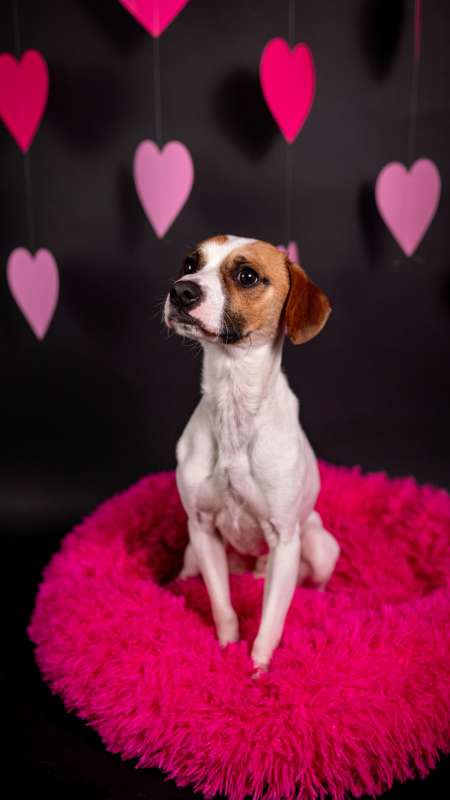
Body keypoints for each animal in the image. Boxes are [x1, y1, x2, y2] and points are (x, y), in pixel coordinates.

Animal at [164, 235, 340, 671]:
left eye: (247, 276)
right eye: (190, 263)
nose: (181, 291)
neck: (233, 401)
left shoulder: (285, 540)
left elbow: (271, 619)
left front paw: (258, 669)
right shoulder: (202, 529)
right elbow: (222, 605)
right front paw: (227, 648)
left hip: (318, 545)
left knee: (315, 582)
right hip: (193, 550)